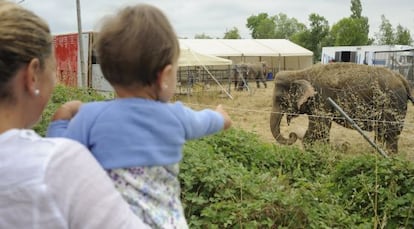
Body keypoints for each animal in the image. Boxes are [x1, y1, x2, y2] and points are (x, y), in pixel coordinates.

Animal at [270, 62, 414, 155]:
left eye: (280, 99)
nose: (292, 134)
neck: (301, 73)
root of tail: (403, 79)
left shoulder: (322, 99)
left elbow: (318, 128)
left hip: (393, 103)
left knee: (390, 134)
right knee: (382, 134)